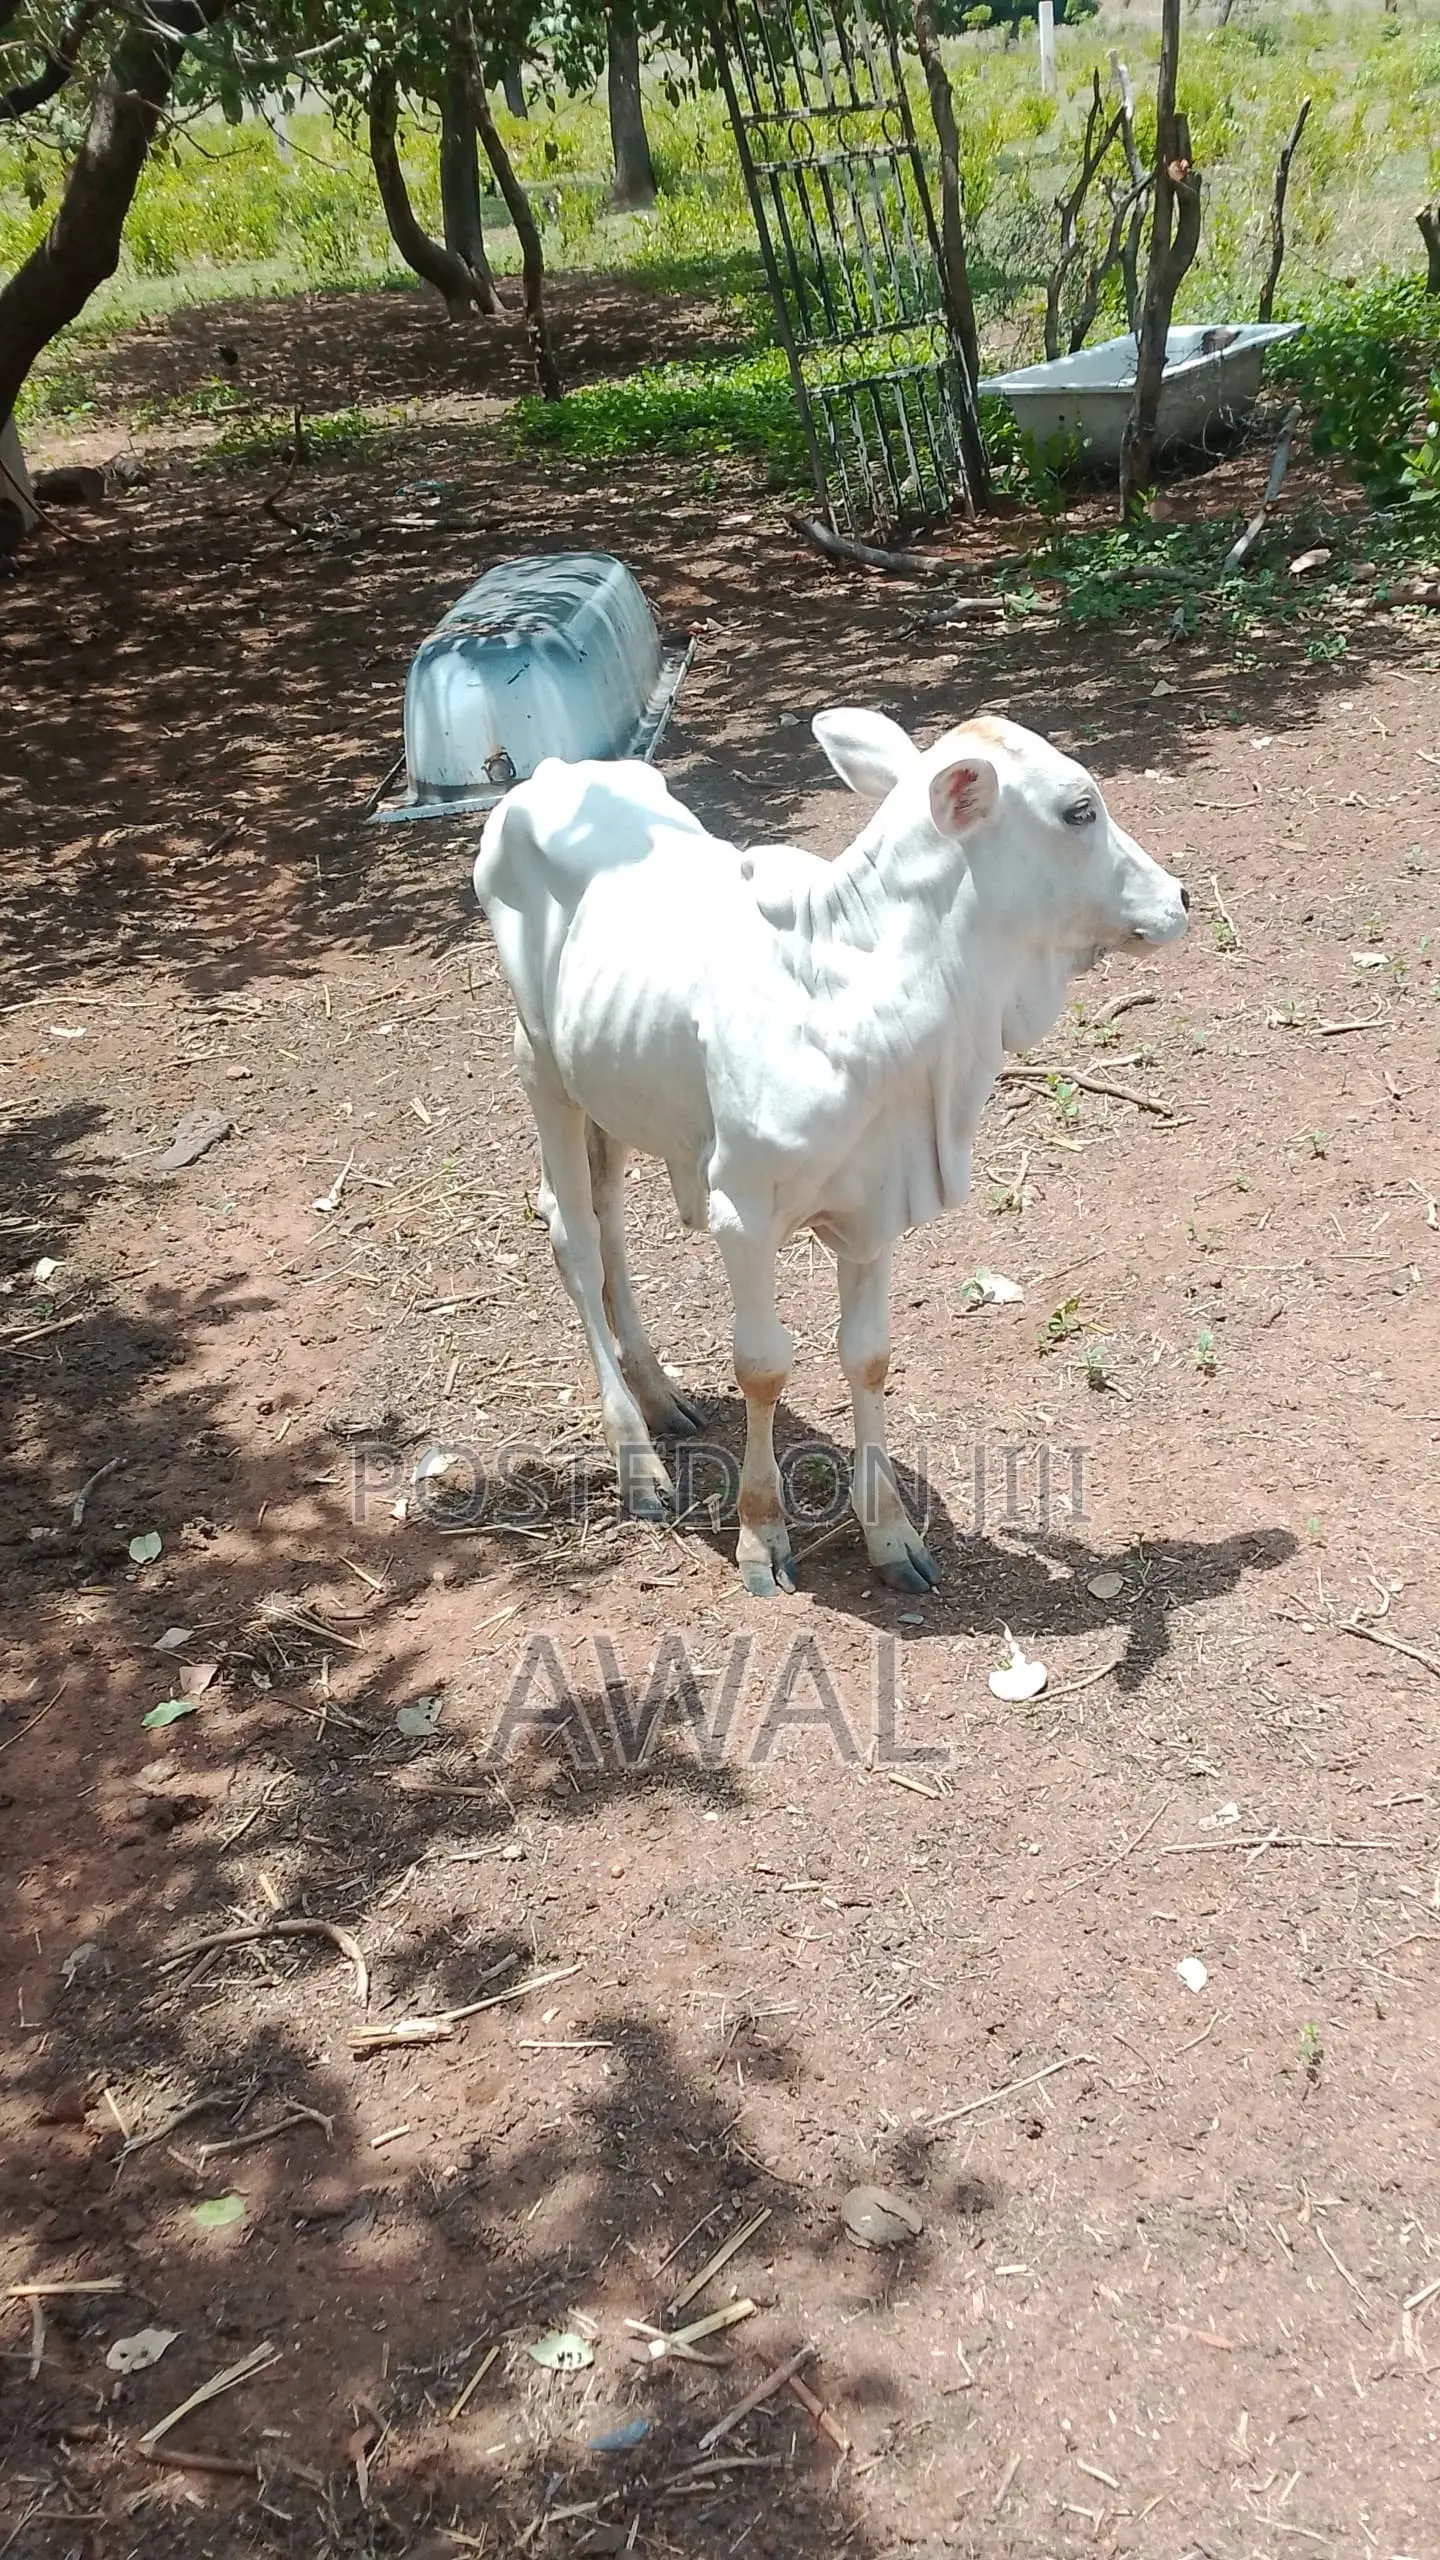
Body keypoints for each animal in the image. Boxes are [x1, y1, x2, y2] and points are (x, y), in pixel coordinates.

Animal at [473, 708, 1189, 1597]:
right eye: (1079, 810)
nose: (1179, 898)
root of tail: (546, 779)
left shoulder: (877, 1202)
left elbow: (868, 1355)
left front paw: (890, 1533)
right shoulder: (742, 1211)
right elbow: (763, 1365)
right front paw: (761, 1534)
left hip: (612, 1085)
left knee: (610, 1223)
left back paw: (661, 1395)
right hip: (539, 1064)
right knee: (570, 1233)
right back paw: (636, 1461)